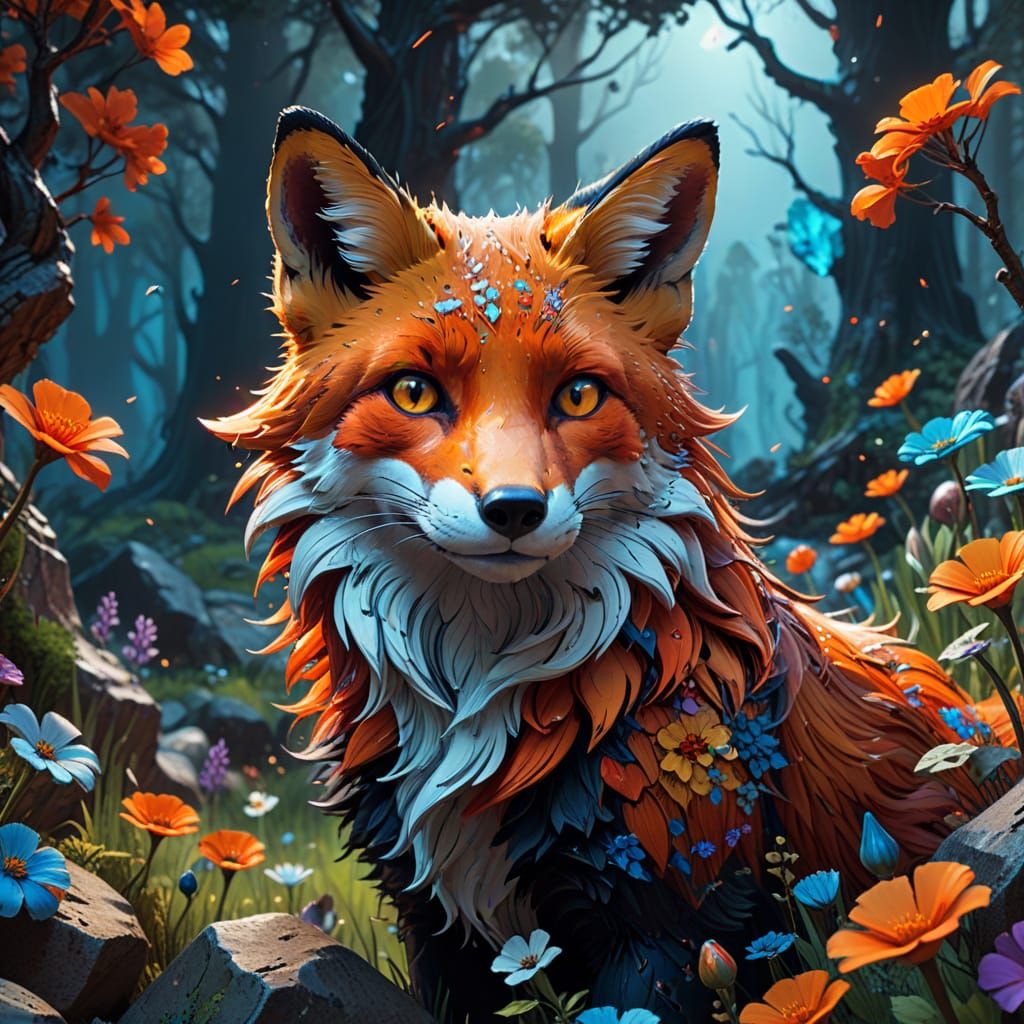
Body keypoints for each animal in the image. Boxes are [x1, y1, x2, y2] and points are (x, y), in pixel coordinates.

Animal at [205, 106, 987, 1022]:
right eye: (413, 392)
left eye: (577, 395)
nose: (513, 509)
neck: (480, 701)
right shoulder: (437, 924)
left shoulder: (672, 923)